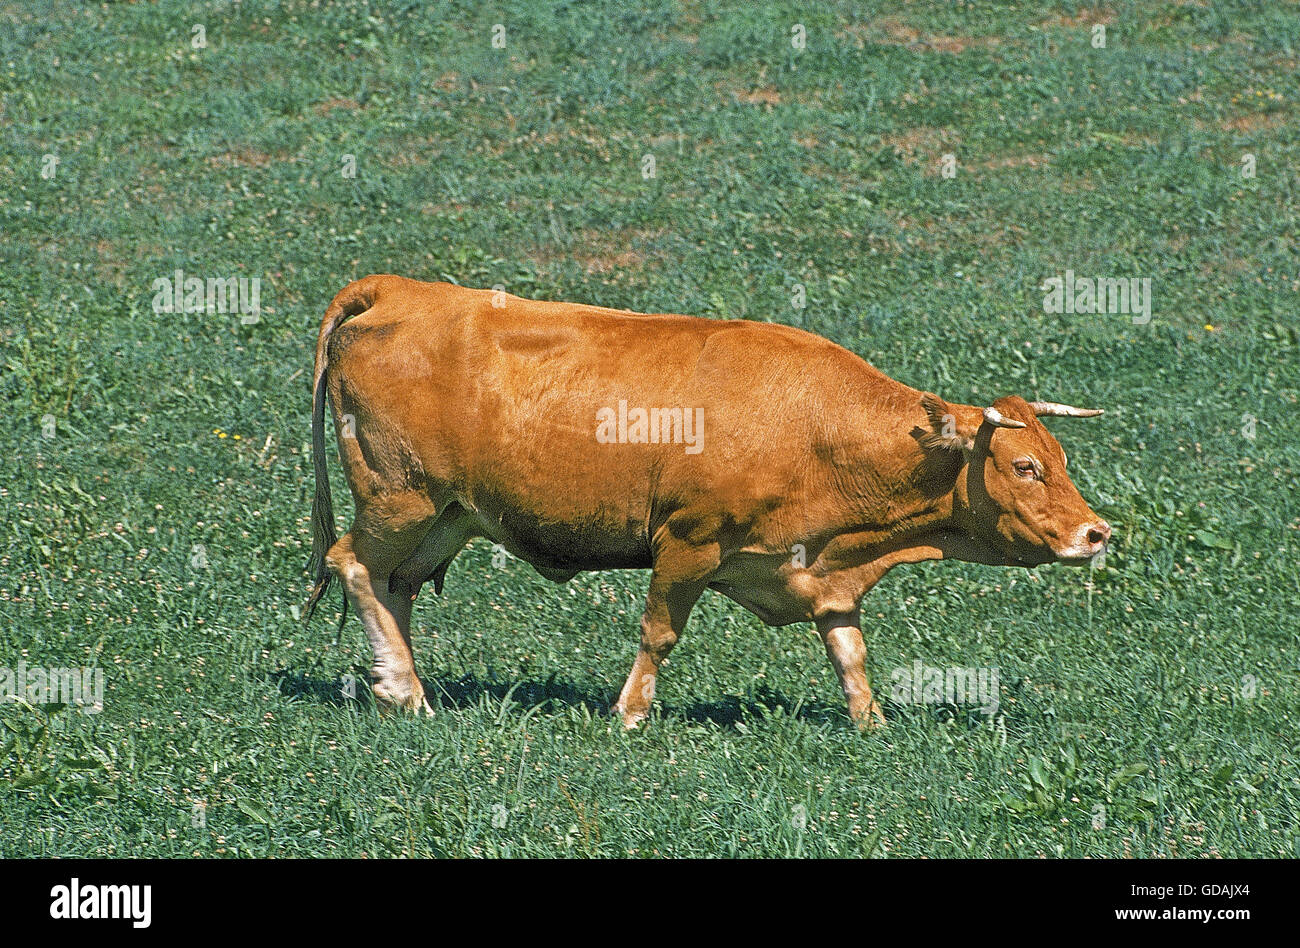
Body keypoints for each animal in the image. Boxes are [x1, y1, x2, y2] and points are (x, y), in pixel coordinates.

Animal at [304, 273, 1107, 723]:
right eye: (1026, 466)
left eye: (1062, 459)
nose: (1097, 533)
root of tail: (400, 289)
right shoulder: (687, 542)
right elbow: (658, 634)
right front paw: (628, 717)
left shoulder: (822, 572)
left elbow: (850, 650)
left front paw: (872, 725)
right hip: (400, 497)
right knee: (354, 563)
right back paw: (406, 691)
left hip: (449, 515)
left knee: (396, 585)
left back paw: (400, 683)